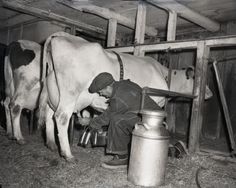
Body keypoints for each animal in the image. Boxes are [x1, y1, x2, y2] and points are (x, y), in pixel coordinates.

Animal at [38, 31, 212, 161]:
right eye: (195, 79)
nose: (209, 94)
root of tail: (60, 37)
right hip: (69, 93)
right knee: (61, 117)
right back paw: (68, 155)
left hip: (53, 93)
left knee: (49, 115)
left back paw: (51, 144)